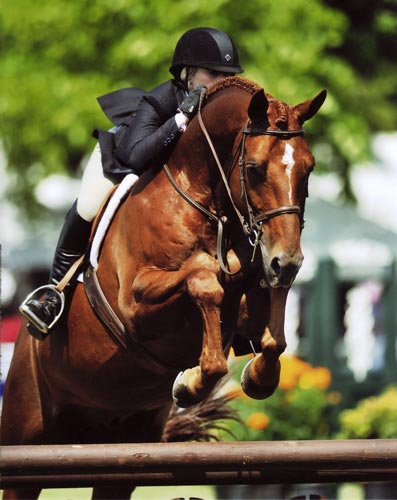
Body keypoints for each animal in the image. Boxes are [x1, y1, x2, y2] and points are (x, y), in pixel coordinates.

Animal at [0, 76, 324, 498]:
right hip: (25, 431)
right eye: (253, 169)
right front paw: (191, 382)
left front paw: (253, 377)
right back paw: (45, 306)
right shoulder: (137, 304)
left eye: (309, 168)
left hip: (123, 452)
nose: (288, 261)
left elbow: (271, 330)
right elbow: (204, 281)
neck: (209, 206)